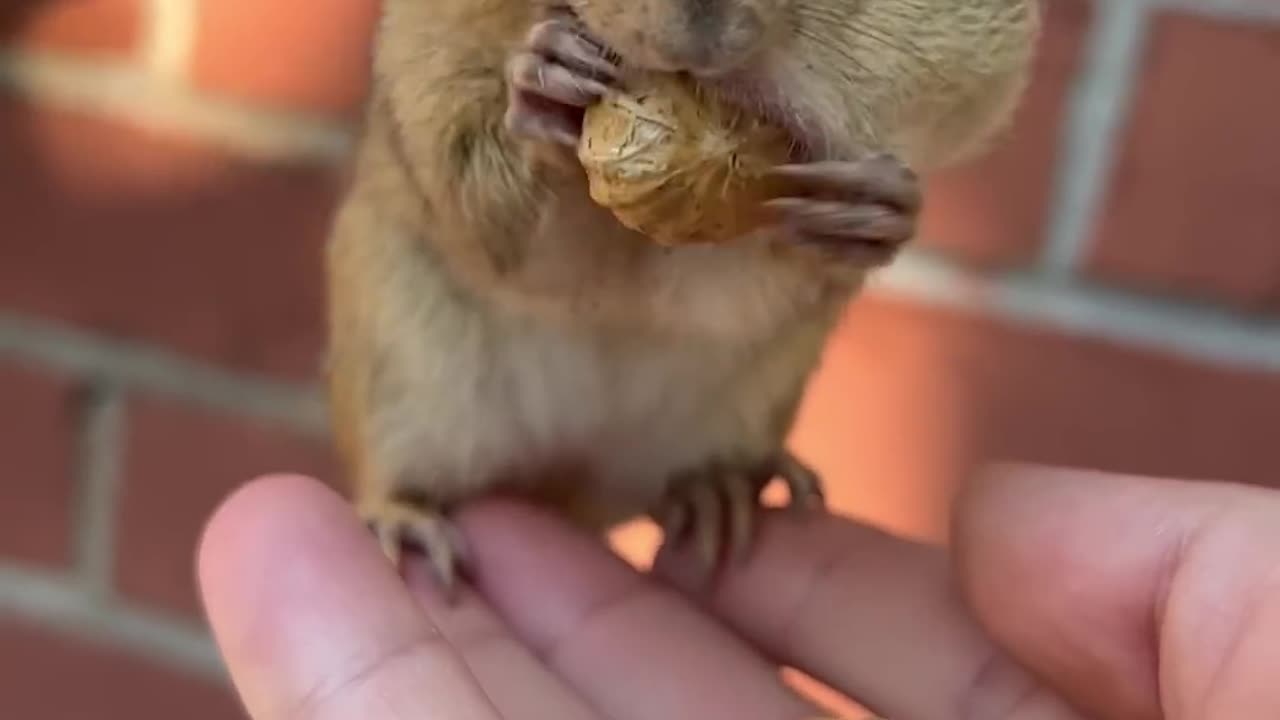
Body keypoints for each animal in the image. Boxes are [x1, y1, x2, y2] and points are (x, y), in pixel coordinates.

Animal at [327, 0, 1039, 586]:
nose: (702, 37)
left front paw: (878, 210)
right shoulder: (431, 75)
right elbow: (505, 223)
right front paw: (546, 88)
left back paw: (718, 489)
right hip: (402, 374)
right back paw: (404, 521)